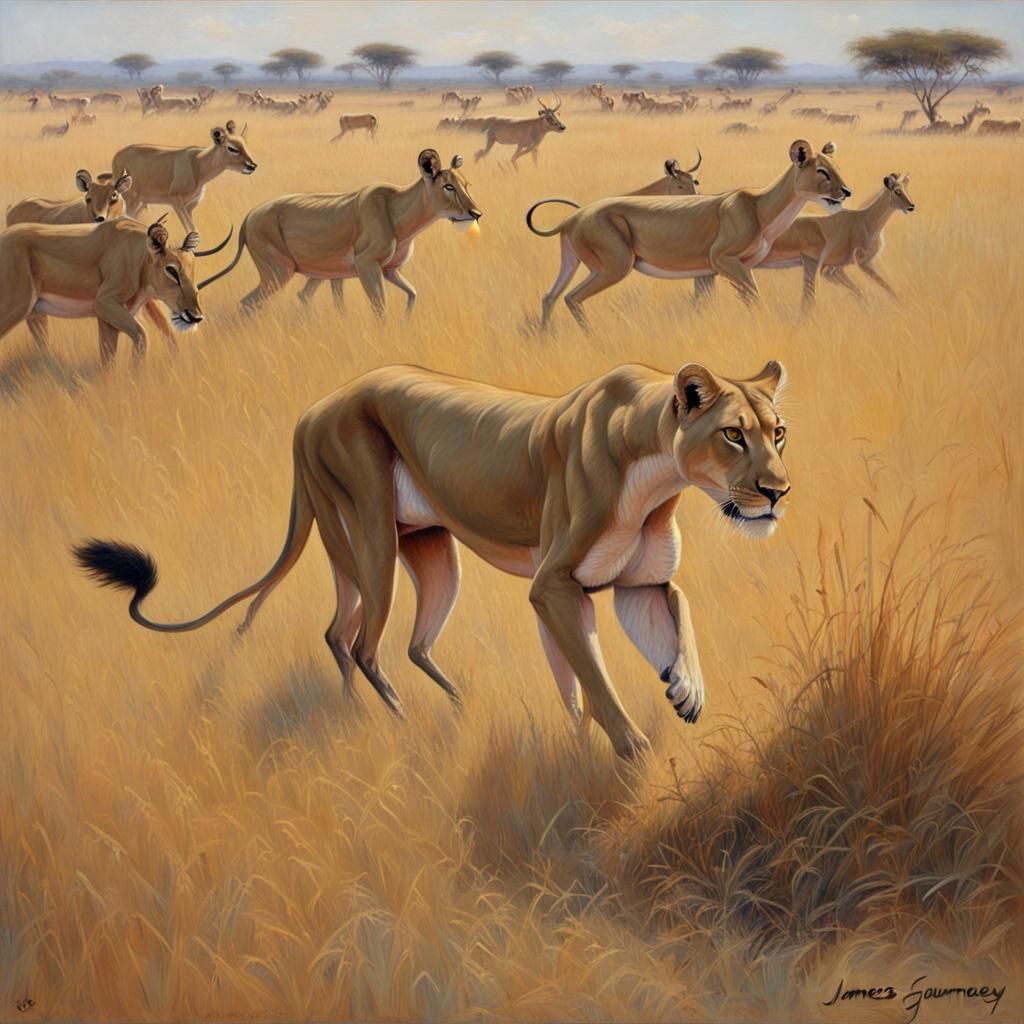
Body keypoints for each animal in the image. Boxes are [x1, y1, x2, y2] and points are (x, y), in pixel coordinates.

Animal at [74, 361, 790, 759]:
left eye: (778, 432)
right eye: (733, 434)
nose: (778, 491)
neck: (657, 476)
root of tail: (311, 410)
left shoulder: (633, 585)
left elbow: (672, 618)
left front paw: (683, 689)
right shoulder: (553, 585)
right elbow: (591, 675)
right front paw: (630, 748)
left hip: (424, 552)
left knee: (376, 638)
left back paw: (426, 709)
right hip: (369, 536)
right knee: (362, 642)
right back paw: (394, 721)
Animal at [112, 120, 257, 232]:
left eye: (245, 145)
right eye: (232, 148)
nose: (252, 166)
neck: (198, 164)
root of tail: (117, 155)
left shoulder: (190, 206)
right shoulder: (176, 200)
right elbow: (191, 229)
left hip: (139, 203)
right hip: (130, 199)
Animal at [526, 139, 850, 328]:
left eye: (836, 168)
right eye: (822, 172)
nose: (847, 192)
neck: (763, 208)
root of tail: (572, 217)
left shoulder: (713, 270)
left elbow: (710, 303)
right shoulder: (722, 259)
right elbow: (755, 297)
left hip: (573, 263)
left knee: (549, 296)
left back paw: (547, 338)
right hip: (615, 266)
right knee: (572, 298)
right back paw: (595, 341)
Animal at [760, 172, 915, 306]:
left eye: (905, 189)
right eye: (897, 191)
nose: (911, 206)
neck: (867, 221)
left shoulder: (839, 267)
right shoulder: (857, 264)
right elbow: (881, 287)